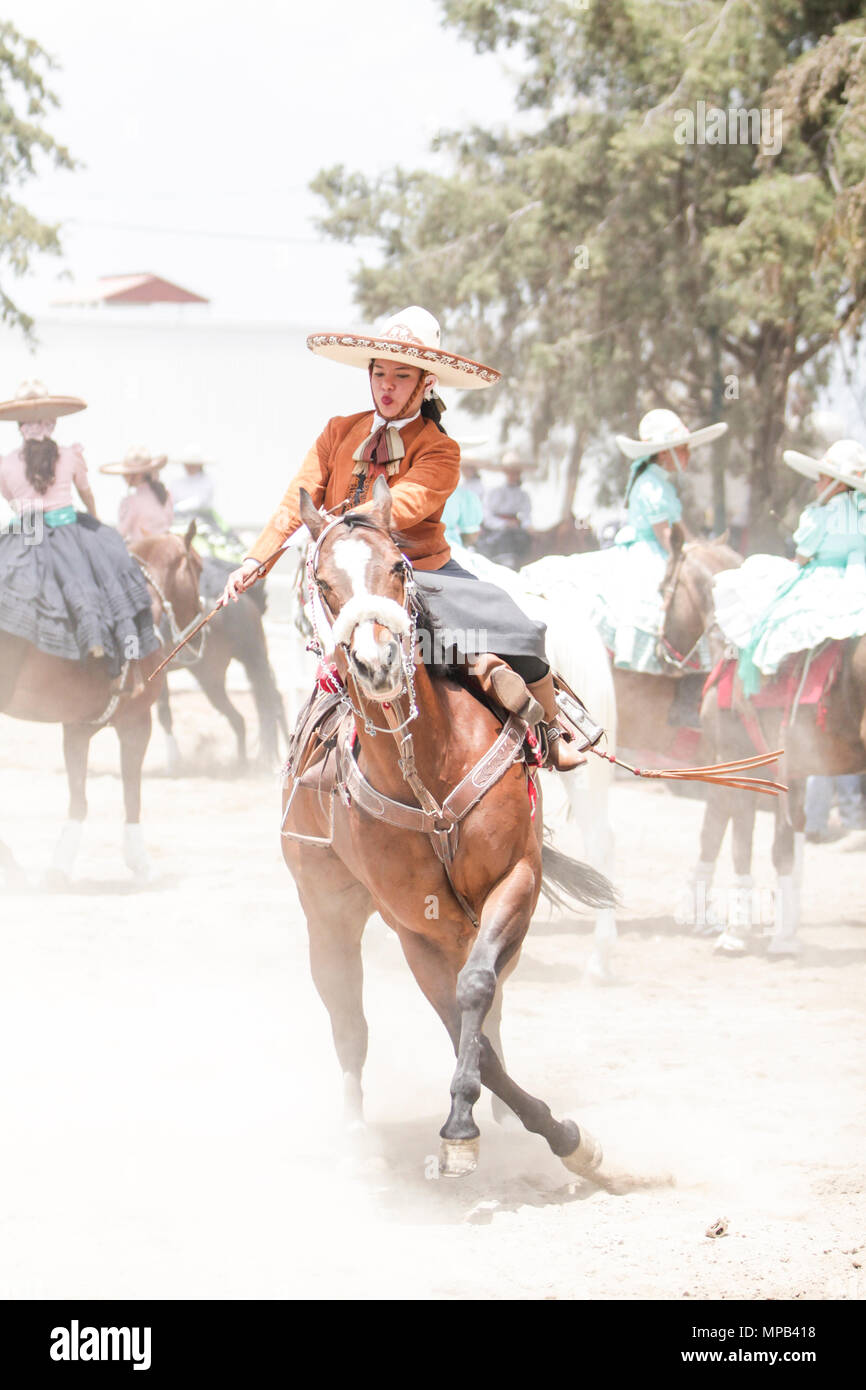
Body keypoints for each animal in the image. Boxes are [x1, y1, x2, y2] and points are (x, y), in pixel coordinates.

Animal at [0, 525, 201, 884]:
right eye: (200, 569)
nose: (201, 635)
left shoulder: (78, 727)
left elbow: (78, 795)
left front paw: (60, 865)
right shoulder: (137, 722)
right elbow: (132, 793)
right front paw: (141, 862)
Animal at [279, 483, 617, 1178]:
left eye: (398, 567)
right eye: (324, 583)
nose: (376, 660)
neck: (427, 769)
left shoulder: (516, 879)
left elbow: (479, 991)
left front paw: (550, 1136)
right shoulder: (417, 925)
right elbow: (465, 1026)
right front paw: (480, 1125)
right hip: (328, 912)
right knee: (348, 1019)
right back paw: (356, 1132)